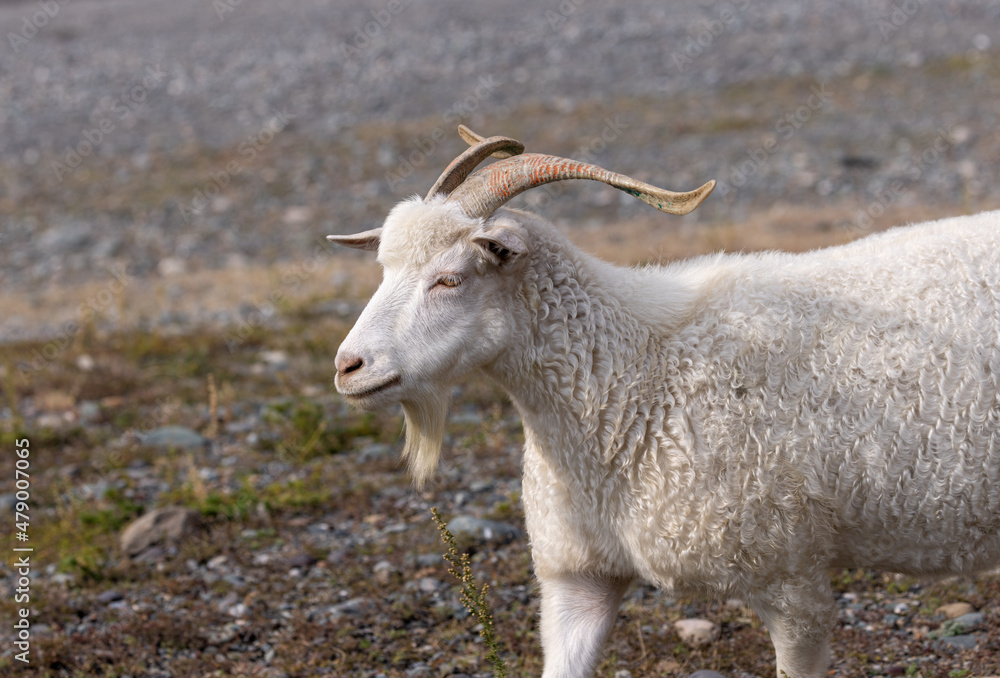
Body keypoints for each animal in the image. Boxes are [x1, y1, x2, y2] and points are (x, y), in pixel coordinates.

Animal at [328, 126, 1000, 677]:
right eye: (384, 269)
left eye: (451, 277)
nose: (347, 367)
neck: (635, 378)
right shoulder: (580, 578)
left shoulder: (791, 576)